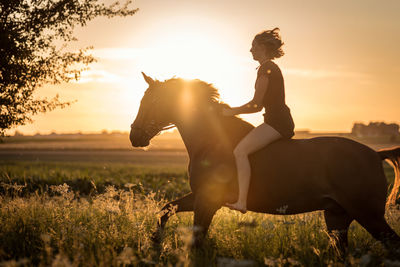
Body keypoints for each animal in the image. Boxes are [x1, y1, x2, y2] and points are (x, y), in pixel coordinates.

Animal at [129, 72, 400, 254]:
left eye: (152, 102)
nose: (134, 136)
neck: (211, 140)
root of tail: (376, 154)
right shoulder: (199, 197)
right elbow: (166, 209)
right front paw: (153, 243)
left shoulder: (208, 201)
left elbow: (197, 239)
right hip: (337, 216)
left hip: (368, 214)